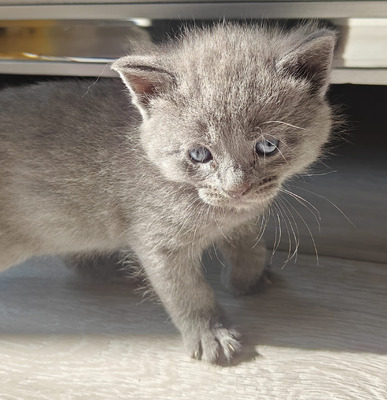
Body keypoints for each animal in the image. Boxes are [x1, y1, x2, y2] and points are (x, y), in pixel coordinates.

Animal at [0, 23, 334, 364]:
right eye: (199, 154)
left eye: (267, 145)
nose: (235, 188)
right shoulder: (159, 242)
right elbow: (188, 292)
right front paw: (210, 334)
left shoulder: (244, 215)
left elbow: (250, 244)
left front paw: (250, 280)